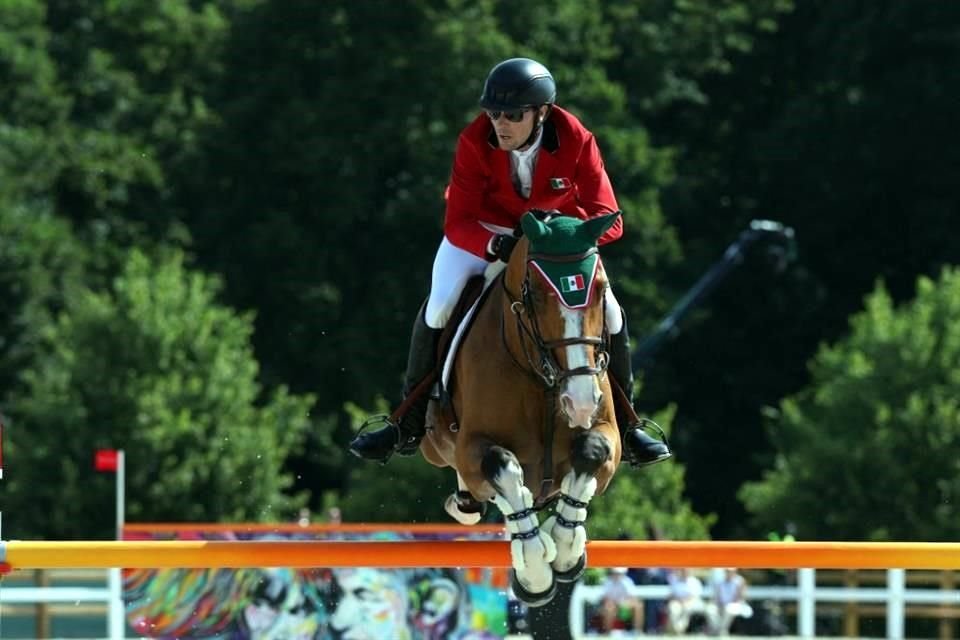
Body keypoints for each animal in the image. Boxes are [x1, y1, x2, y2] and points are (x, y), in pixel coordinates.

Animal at [420, 212, 624, 608]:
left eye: (600, 290)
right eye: (539, 296)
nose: (580, 403)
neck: (541, 378)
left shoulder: (609, 435)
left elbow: (592, 451)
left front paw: (565, 548)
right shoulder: (470, 447)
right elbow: (501, 465)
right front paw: (535, 574)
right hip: (434, 447)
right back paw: (465, 503)